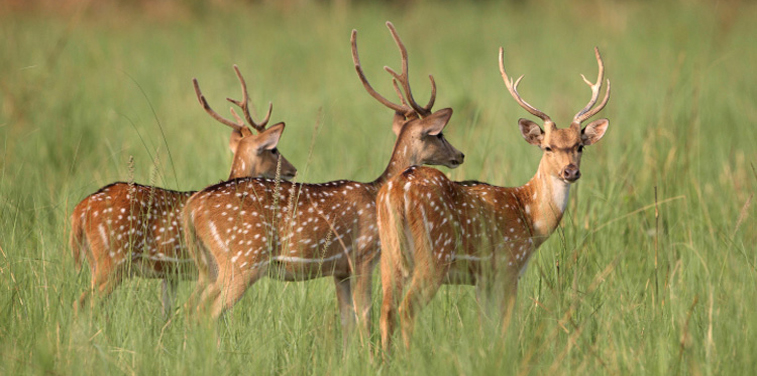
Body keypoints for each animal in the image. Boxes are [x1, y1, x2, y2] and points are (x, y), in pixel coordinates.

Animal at [70, 66, 296, 316]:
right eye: (273, 149)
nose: (292, 170)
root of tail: (79, 211)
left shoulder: (172, 275)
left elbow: (167, 314)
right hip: (112, 260)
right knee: (81, 303)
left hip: (96, 261)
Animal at [185, 21, 466, 344]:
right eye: (439, 134)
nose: (460, 155)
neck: (376, 191)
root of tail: (192, 206)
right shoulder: (363, 254)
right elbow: (365, 316)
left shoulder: (339, 270)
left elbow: (347, 321)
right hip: (244, 258)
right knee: (207, 312)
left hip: (212, 264)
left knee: (191, 307)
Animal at [376, 47, 612, 352]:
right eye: (548, 147)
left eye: (580, 146)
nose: (570, 171)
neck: (530, 218)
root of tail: (395, 192)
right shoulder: (509, 266)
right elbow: (507, 325)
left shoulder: (483, 279)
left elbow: (484, 327)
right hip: (434, 253)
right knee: (406, 309)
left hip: (389, 255)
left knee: (385, 311)